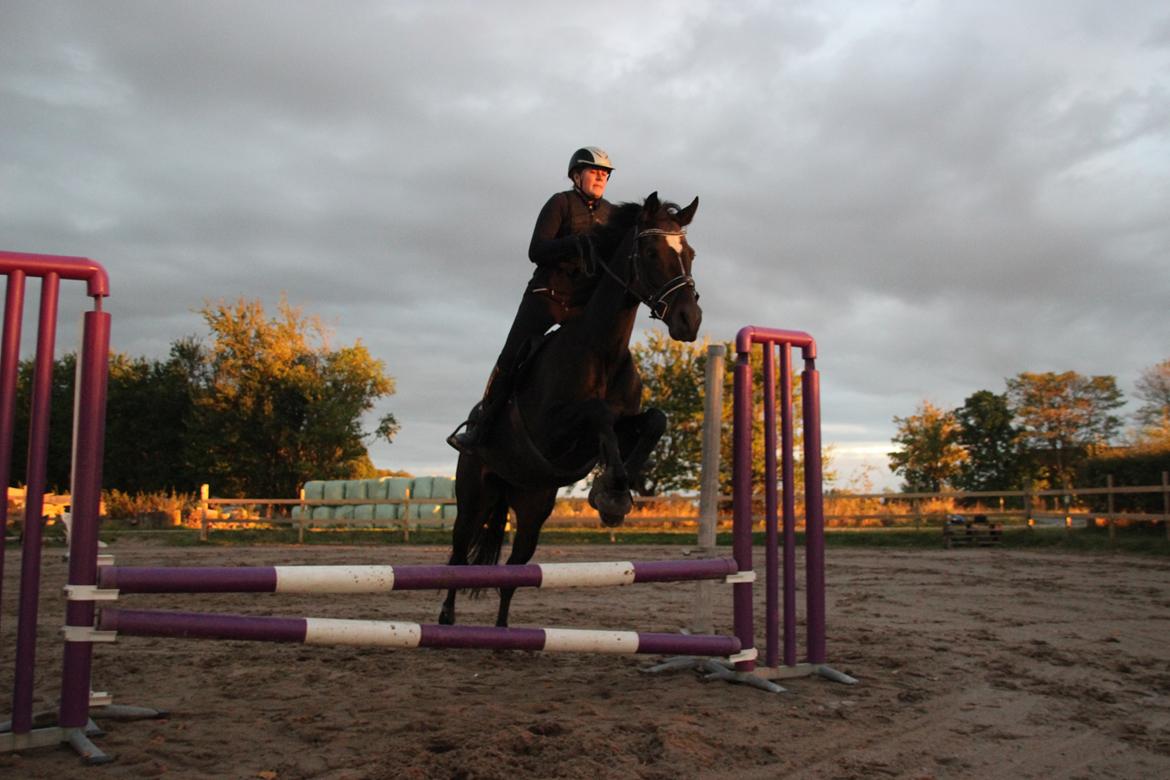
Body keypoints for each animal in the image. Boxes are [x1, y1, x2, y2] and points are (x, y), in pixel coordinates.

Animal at [437, 194, 692, 626]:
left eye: (689, 254)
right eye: (652, 253)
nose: (690, 320)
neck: (601, 350)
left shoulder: (626, 422)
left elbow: (655, 420)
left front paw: (615, 493)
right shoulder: (556, 428)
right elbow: (599, 414)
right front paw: (611, 493)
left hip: (532, 506)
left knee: (514, 571)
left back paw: (505, 633)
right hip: (474, 497)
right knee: (458, 556)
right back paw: (446, 621)